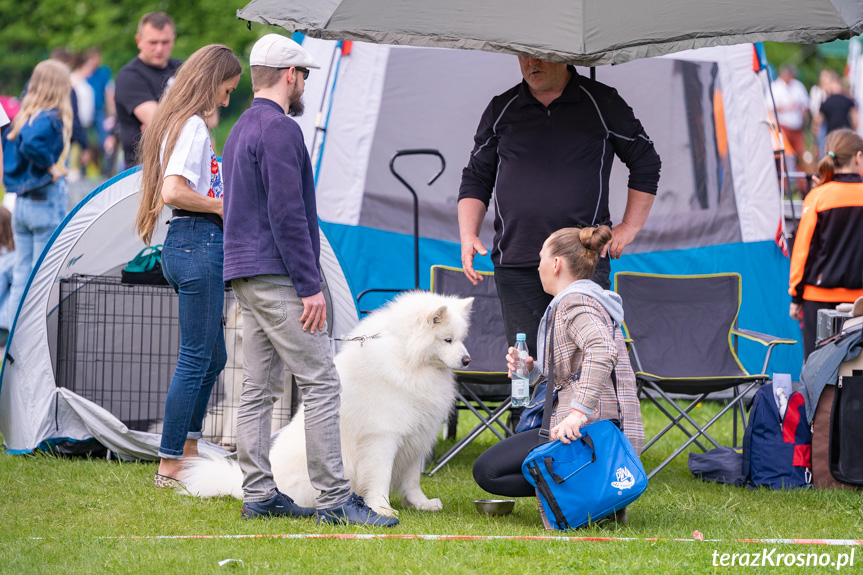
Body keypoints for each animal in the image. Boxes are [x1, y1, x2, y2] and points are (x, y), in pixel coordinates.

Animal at [181, 292, 472, 516]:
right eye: (447, 339)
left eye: (461, 339)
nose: (468, 360)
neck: (408, 359)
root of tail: (240, 487)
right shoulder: (383, 438)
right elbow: (380, 477)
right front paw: (382, 508)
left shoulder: (416, 436)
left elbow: (412, 480)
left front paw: (422, 504)